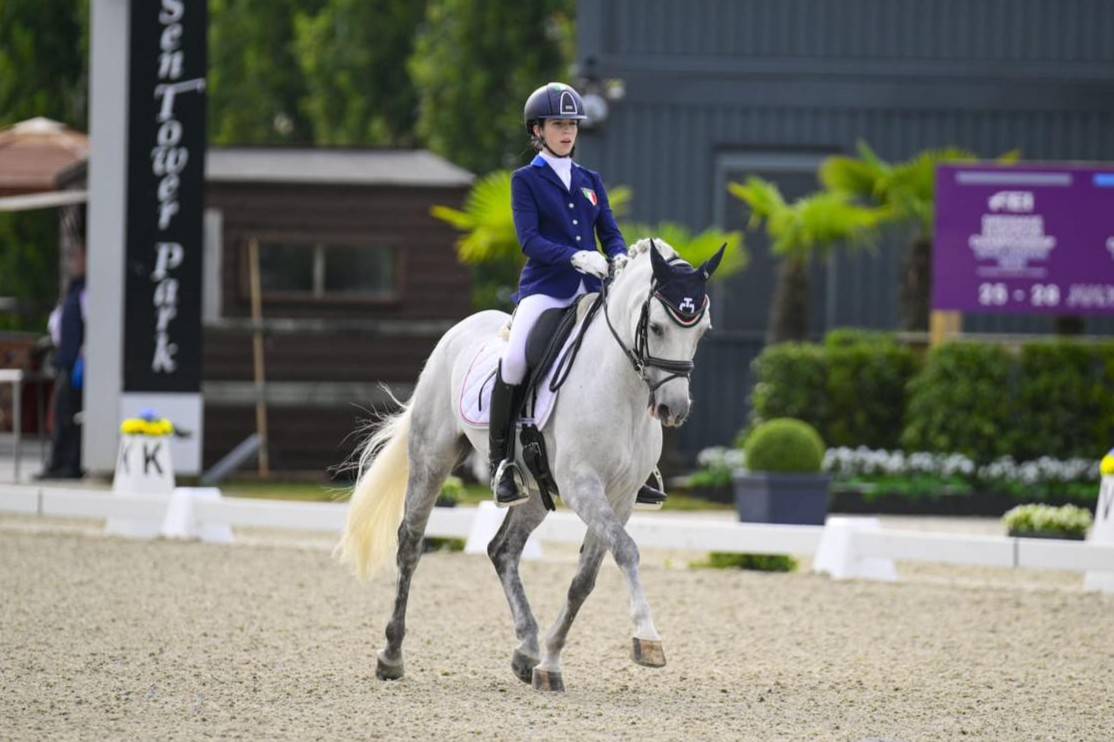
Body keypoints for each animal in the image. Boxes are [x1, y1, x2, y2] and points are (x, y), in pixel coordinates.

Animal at [336, 237, 725, 692]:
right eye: (659, 327)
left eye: (701, 330)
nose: (672, 409)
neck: (621, 387)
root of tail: (458, 331)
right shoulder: (583, 486)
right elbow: (626, 550)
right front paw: (647, 639)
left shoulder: (622, 496)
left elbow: (584, 579)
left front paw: (550, 664)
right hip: (432, 457)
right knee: (411, 544)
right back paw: (391, 655)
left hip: (536, 490)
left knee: (502, 549)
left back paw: (526, 651)